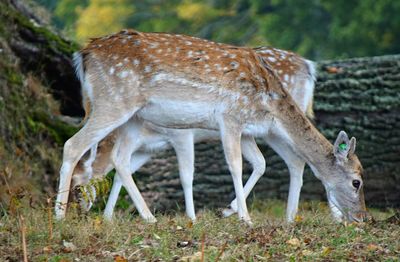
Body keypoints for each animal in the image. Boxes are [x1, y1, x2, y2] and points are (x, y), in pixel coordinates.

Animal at [55, 29, 366, 224]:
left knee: (118, 159)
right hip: (114, 102)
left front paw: (231, 212)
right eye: (357, 182)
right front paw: (244, 218)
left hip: (132, 116)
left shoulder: (245, 129)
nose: (362, 217)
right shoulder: (228, 118)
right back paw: (60, 217)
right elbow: (233, 166)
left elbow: (258, 163)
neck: (270, 100)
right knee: (73, 145)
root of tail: (83, 54)